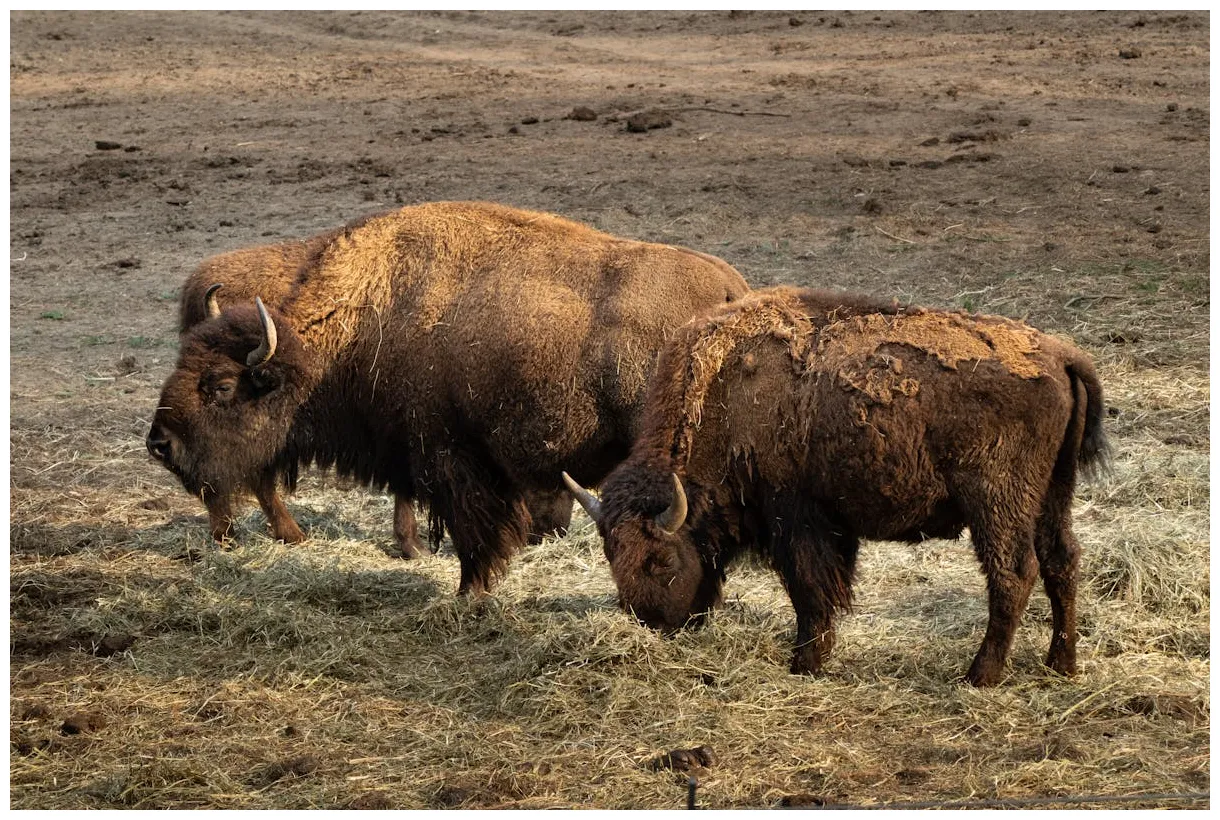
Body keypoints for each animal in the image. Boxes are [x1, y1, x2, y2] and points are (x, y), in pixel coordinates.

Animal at [148, 201, 749, 594]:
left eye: (220, 386)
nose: (160, 444)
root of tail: (731, 293)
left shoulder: (450, 458)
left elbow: (471, 535)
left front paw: (466, 593)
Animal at [565, 287, 1109, 686]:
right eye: (611, 557)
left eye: (660, 560)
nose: (651, 623)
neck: (724, 395)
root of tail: (1061, 357)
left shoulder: (797, 517)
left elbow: (809, 589)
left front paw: (804, 663)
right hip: (1053, 495)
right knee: (1062, 561)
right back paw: (1061, 665)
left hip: (996, 501)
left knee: (1013, 573)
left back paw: (980, 675)